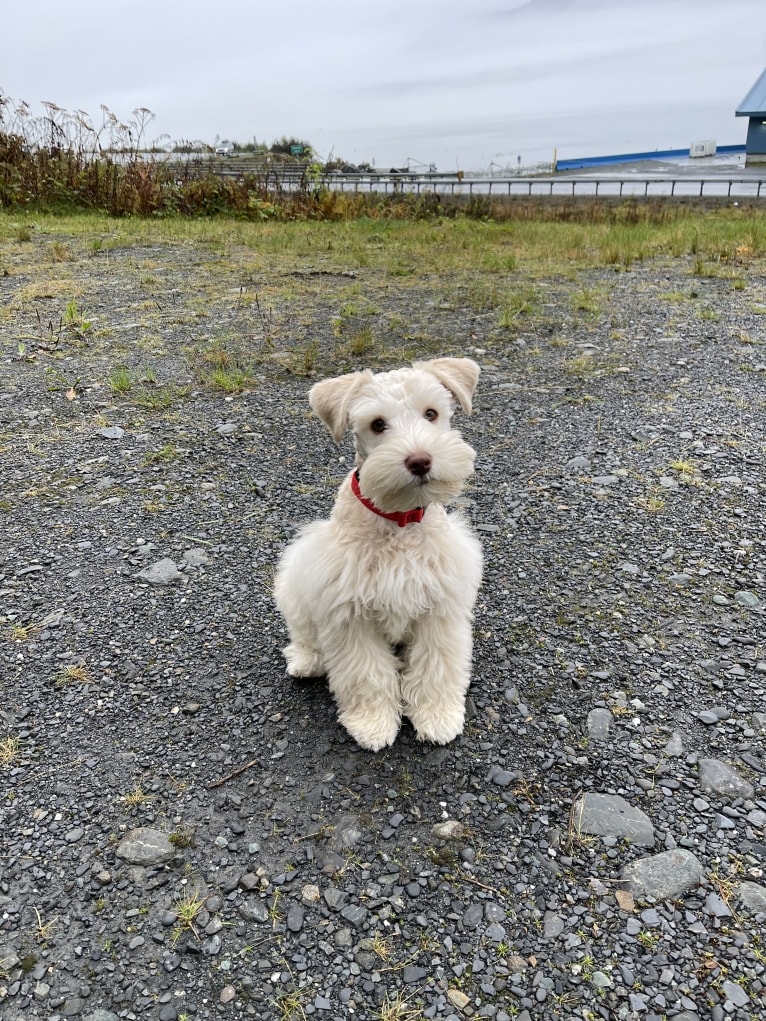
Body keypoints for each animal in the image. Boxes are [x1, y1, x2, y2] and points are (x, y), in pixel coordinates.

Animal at [273, 357, 482, 751]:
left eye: (431, 413)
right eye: (378, 424)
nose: (420, 461)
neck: (398, 520)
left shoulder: (440, 608)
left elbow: (436, 666)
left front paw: (437, 716)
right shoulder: (350, 615)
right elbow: (366, 674)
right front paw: (373, 723)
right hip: (295, 587)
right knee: (303, 634)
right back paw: (307, 660)